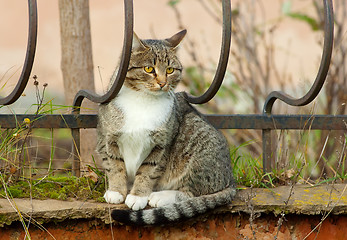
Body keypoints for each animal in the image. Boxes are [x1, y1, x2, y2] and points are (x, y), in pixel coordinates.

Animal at [96, 30, 237, 225]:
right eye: (149, 69)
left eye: (170, 70)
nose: (162, 83)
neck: (142, 100)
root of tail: (231, 180)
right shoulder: (107, 139)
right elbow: (114, 165)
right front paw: (116, 191)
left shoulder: (161, 146)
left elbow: (148, 171)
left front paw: (138, 196)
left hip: (199, 151)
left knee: (191, 194)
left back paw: (160, 196)